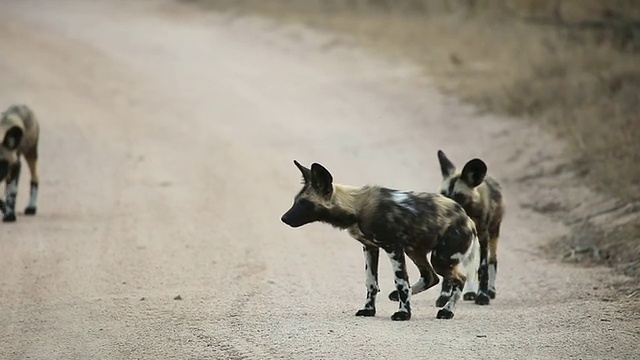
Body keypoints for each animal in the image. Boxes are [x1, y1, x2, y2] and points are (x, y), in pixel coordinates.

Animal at [282, 160, 480, 320]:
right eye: (296, 201)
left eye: (304, 203)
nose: (283, 218)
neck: (355, 208)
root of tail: (467, 219)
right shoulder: (370, 247)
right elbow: (371, 283)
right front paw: (369, 310)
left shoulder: (393, 248)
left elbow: (401, 282)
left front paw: (403, 314)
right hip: (415, 251)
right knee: (431, 277)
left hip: (440, 259)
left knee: (459, 279)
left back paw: (447, 311)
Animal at [436, 150, 504, 306]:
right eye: (443, 194)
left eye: (459, 196)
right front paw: (444, 297)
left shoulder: (484, 238)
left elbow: (483, 269)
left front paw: (483, 296)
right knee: (470, 265)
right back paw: (470, 292)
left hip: (493, 234)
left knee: (492, 261)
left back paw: (490, 291)